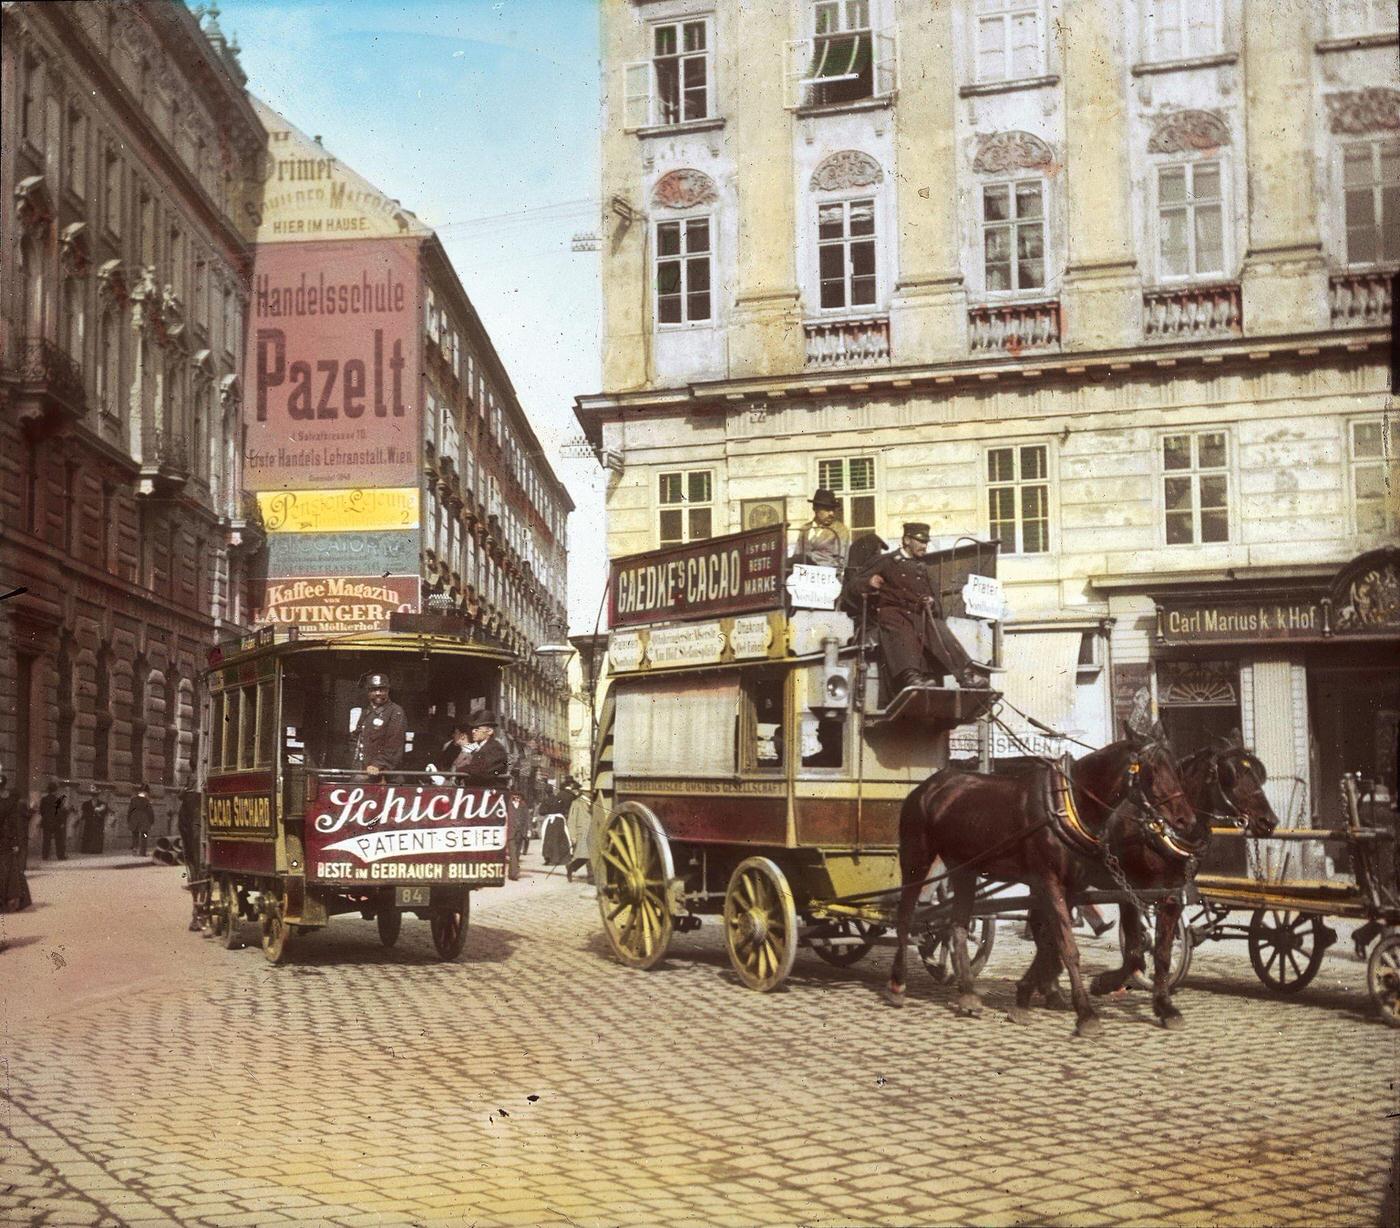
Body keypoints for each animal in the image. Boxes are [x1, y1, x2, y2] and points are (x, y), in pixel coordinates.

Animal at [884, 722, 1192, 1041]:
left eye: (1177, 768)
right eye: (1152, 770)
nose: (1186, 821)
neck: (1070, 803)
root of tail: (929, 785)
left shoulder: (1073, 888)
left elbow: (1051, 943)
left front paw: (1025, 998)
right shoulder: (1050, 882)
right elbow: (1068, 947)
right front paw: (1086, 1014)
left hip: (963, 868)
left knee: (956, 925)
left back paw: (968, 994)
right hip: (917, 857)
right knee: (905, 915)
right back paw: (897, 984)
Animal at [1019, 739, 1282, 1024]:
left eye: (1258, 773)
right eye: (1231, 775)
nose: (1269, 821)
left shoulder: (1171, 895)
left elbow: (1162, 953)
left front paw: (1164, 1005)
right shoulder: (1128, 891)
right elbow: (1136, 951)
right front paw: (1103, 983)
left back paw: (1050, 989)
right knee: (1044, 930)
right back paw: (1049, 988)